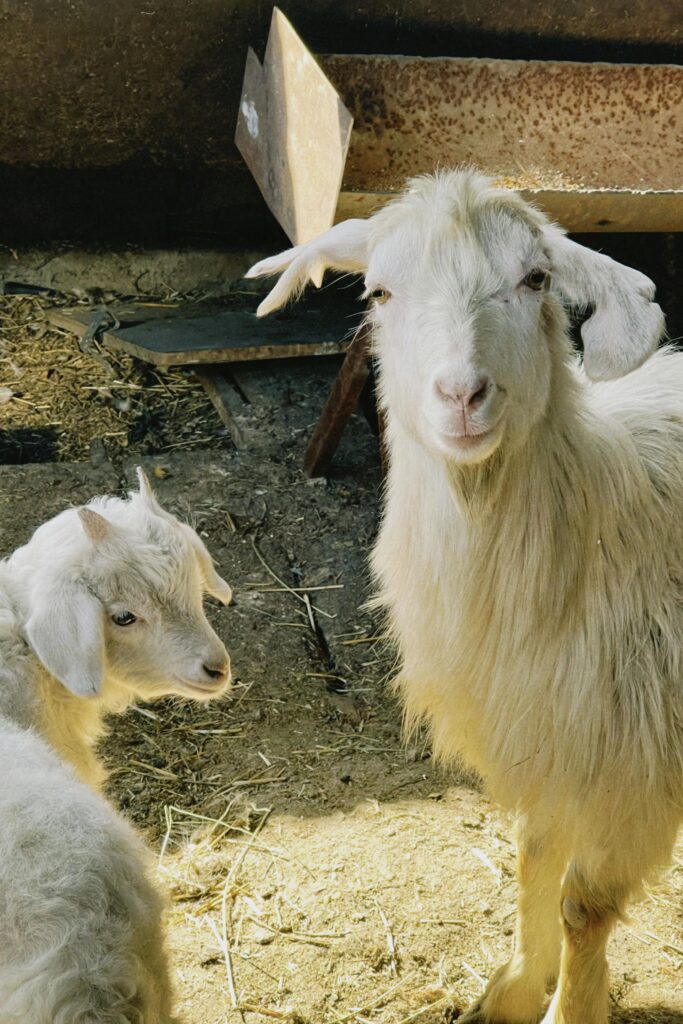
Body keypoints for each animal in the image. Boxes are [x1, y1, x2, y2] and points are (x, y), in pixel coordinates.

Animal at [246, 170, 682, 1024]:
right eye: (378, 292)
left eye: (535, 279)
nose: (460, 395)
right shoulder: (544, 727)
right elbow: (532, 858)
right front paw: (513, 987)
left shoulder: (637, 769)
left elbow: (583, 905)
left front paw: (571, 1008)